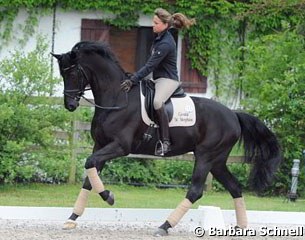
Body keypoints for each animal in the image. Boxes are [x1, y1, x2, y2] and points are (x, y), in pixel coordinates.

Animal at [51, 41, 280, 236]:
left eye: (73, 72)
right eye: (62, 74)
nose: (70, 105)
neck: (116, 98)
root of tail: (233, 115)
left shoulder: (120, 146)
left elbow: (90, 165)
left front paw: (109, 197)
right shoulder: (100, 145)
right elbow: (89, 177)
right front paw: (72, 218)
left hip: (206, 156)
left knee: (195, 191)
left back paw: (164, 226)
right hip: (217, 161)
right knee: (234, 187)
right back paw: (240, 227)